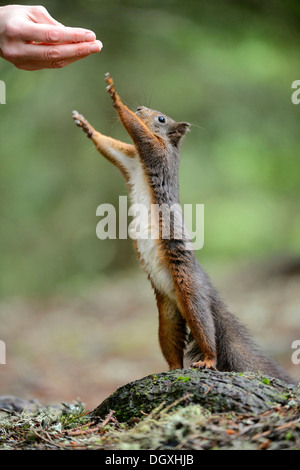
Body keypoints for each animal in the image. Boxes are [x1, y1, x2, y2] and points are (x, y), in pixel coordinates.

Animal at [72, 72, 292, 382]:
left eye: (162, 118)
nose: (140, 108)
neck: (144, 162)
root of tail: (204, 287)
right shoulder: (130, 159)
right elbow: (109, 146)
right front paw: (86, 125)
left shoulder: (155, 152)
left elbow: (137, 131)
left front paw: (115, 96)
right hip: (168, 316)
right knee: (172, 346)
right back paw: (171, 370)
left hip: (191, 296)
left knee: (206, 331)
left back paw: (208, 360)